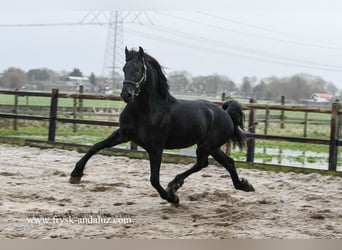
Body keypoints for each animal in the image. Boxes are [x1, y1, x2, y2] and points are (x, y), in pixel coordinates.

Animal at [71, 47, 254, 205]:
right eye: (124, 68)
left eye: (138, 69)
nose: (126, 95)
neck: (146, 111)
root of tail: (226, 113)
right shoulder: (123, 134)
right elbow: (96, 146)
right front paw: (75, 175)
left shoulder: (156, 148)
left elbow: (154, 179)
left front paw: (172, 198)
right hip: (212, 147)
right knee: (227, 162)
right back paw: (244, 185)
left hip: (206, 146)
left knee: (202, 163)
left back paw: (174, 185)